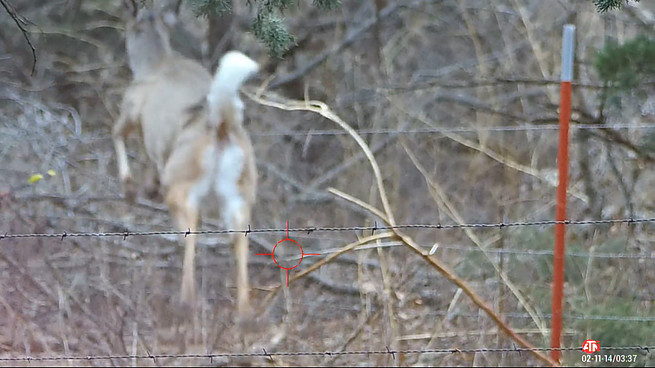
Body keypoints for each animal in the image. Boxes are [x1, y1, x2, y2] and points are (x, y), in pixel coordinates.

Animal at [111, 2, 258, 320]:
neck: (157, 61)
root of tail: (222, 124)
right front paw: (145, 188)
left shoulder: (132, 110)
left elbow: (117, 136)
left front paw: (129, 190)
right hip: (240, 192)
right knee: (239, 238)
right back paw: (244, 312)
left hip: (182, 181)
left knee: (192, 228)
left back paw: (186, 300)